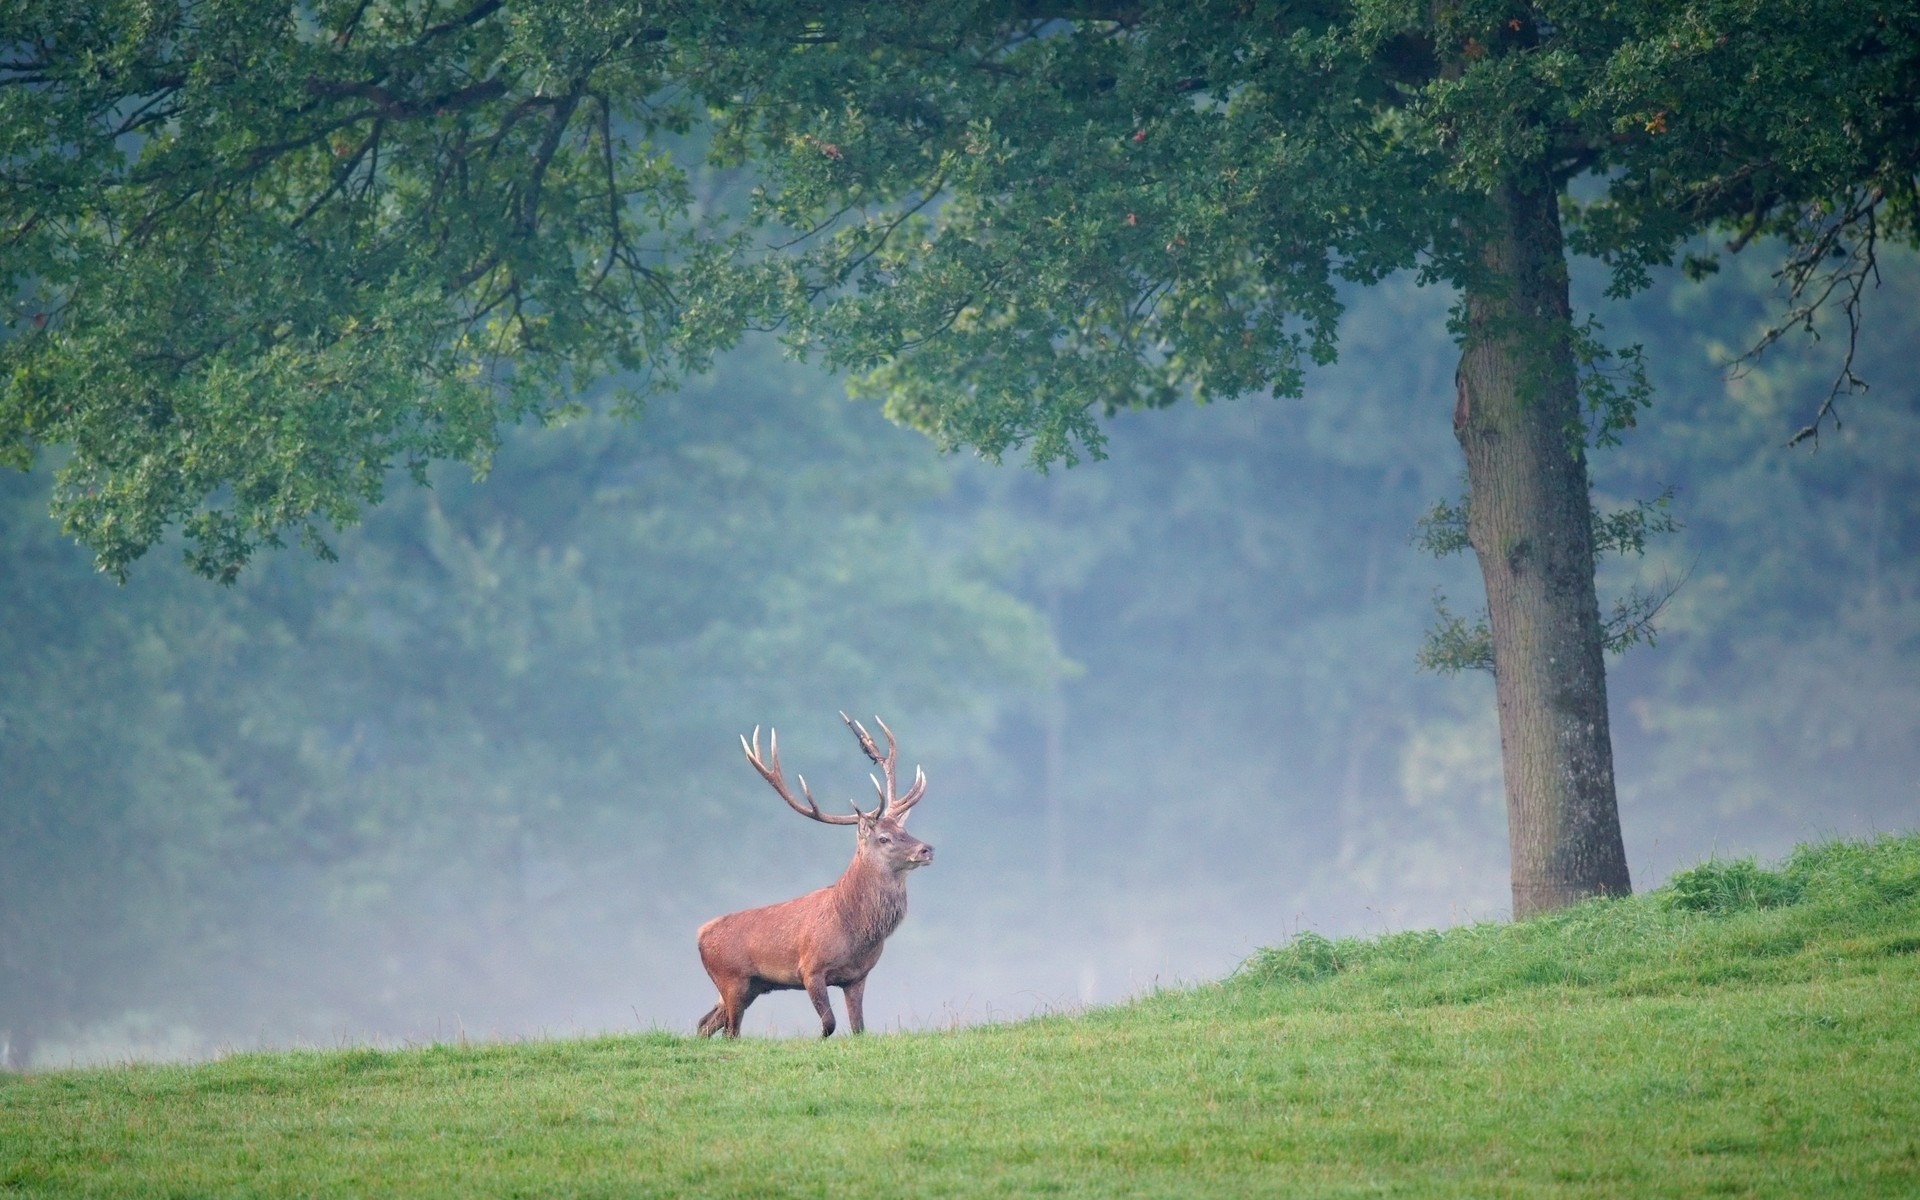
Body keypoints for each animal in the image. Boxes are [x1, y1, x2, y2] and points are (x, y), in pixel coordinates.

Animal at [695, 713, 933, 1039]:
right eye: (884, 838)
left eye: (904, 830)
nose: (926, 849)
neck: (854, 930)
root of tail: (700, 934)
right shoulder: (810, 968)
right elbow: (829, 1024)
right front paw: (817, 1039)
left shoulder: (857, 976)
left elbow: (859, 1028)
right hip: (731, 979)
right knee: (730, 1031)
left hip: (751, 986)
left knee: (704, 1024)